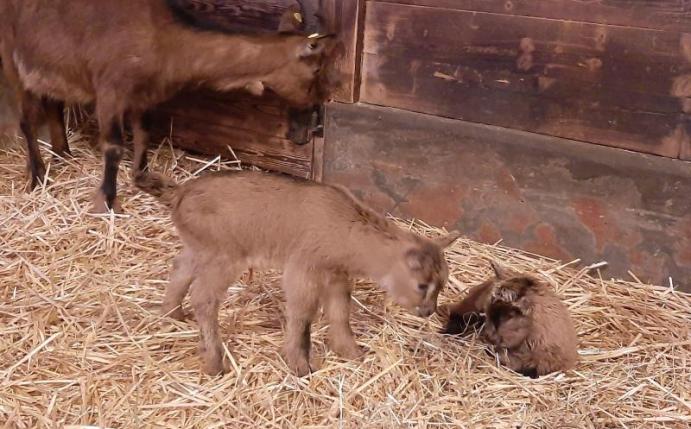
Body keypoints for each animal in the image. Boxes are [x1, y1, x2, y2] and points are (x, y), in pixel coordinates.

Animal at [0, 0, 340, 211]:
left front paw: (149, 181)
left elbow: (144, 135)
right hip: (11, 55)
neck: (165, 41)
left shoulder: (142, 97)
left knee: (52, 105)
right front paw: (107, 202)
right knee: (26, 120)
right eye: (317, 68)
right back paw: (37, 176)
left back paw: (63, 155)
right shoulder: (110, 90)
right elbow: (114, 146)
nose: (318, 105)